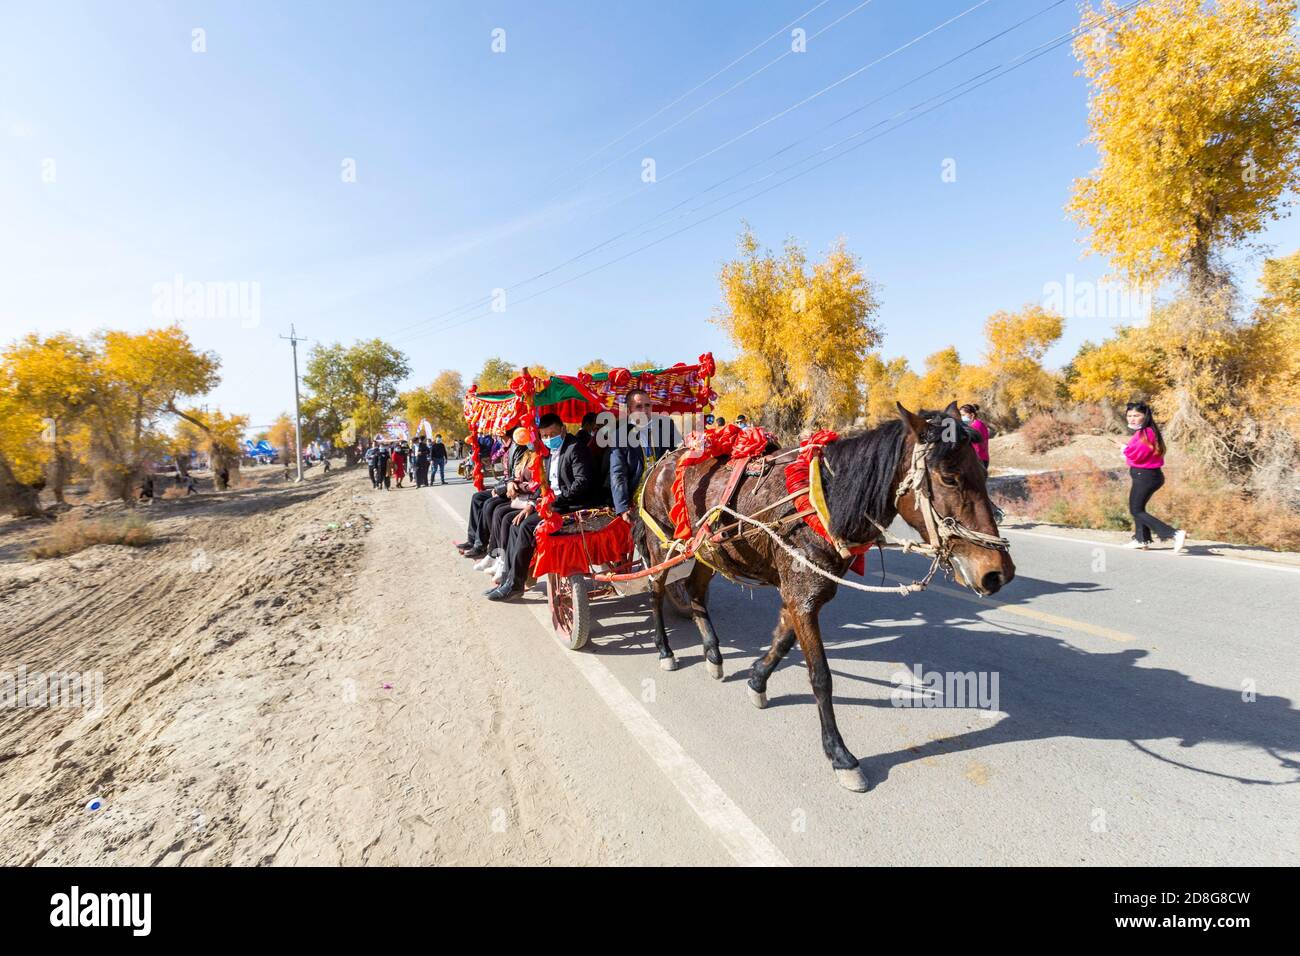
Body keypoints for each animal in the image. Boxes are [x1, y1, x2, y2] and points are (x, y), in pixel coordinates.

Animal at [639, 403, 1013, 790]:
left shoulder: (803, 593)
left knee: (696, 592)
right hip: (661, 544)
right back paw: (665, 650)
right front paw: (839, 754)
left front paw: (757, 681)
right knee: (655, 591)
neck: (818, 503)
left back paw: (713, 653)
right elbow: (821, 676)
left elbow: (782, 641)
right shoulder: (801, 596)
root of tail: (662, 461)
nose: (997, 572)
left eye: (982, 471)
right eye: (949, 478)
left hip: (706, 551)